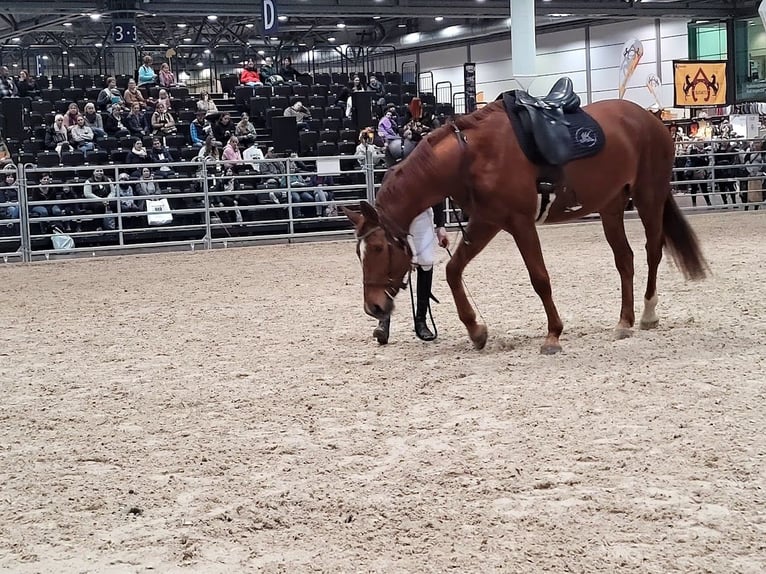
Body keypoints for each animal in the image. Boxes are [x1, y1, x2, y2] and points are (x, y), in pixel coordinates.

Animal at [344, 97, 712, 354]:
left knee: (653, 251)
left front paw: (553, 335)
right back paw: (624, 321)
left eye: (377, 247)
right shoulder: (486, 222)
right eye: (358, 253)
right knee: (625, 259)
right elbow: (453, 271)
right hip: (611, 207)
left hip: (649, 197)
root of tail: (649, 119)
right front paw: (476, 331)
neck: (472, 155)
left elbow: (540, 279)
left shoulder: (520, 224)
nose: (373, 307)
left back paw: (648, 314)